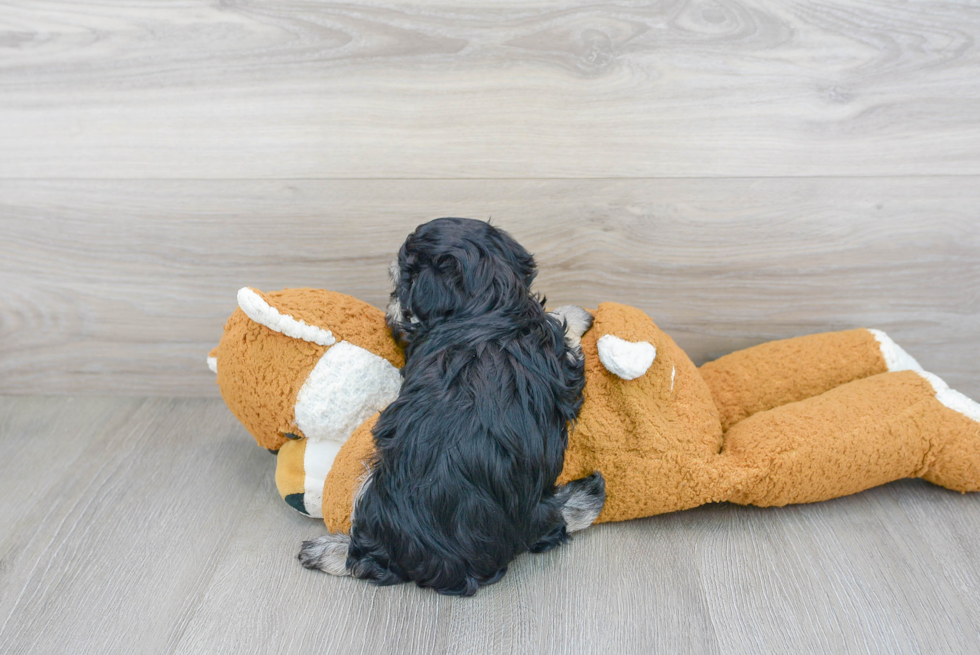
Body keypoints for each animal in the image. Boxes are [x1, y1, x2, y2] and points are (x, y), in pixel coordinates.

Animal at [298, 218, 604, 596]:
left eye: (399, 287)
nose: (389, 316)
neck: (490, 303)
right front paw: (578, 315)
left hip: (376, 484)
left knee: (368, 559)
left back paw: (329, 551)